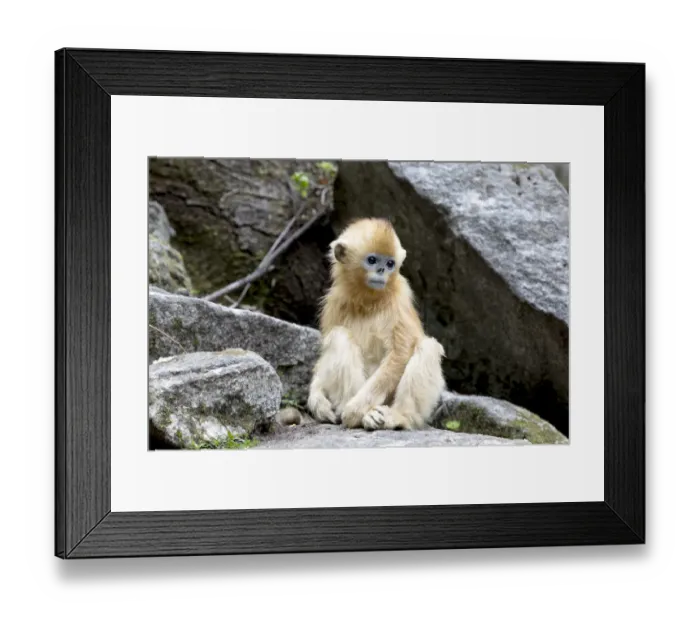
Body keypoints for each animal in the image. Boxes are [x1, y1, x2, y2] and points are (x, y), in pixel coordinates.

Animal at [307, 218, 446, 431]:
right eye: (372, 260)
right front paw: (317, 400)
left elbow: (401, 353)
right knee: (339, 336)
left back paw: (396, 416)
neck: (368, 301)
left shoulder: (400, 299)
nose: (382, 270)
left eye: (390, 263)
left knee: (428, 347)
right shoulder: (334, 302)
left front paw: (354, 411)